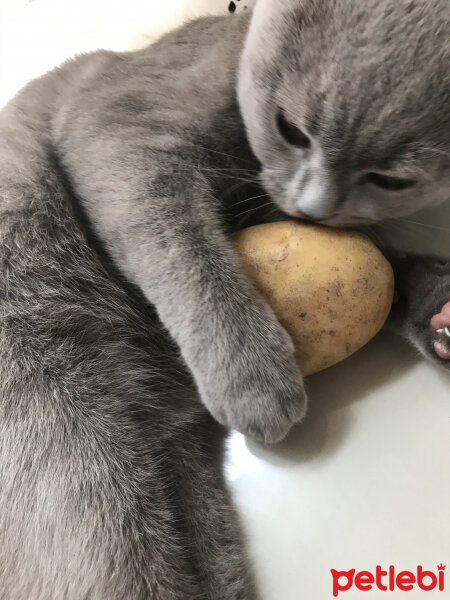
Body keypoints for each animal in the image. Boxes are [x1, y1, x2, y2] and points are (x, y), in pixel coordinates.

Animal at [0, 0, 448, 596]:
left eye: (392, 180)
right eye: (290, 130)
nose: (314, 205)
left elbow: (382, 266)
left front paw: (439, 308)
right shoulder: (119, 121)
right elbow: (182, 243)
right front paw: (251, 376)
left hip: (185, 484)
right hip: (80, 470)